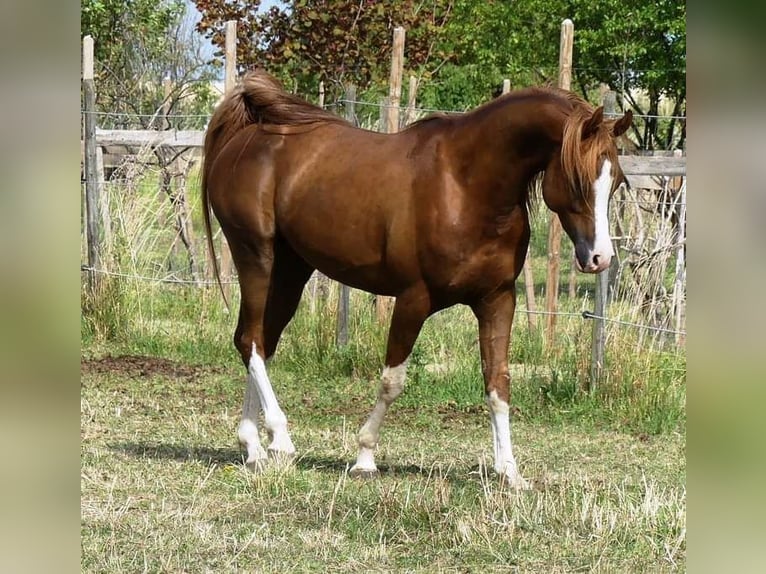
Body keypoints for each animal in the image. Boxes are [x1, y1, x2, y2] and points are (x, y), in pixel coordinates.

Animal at [201, 68, 632, 490]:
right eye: (578, 181)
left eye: (615, 181)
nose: (600, 258)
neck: (466, 185)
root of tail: (248, 135)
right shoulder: (414, 299)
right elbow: (392, 381)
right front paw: (365, 458)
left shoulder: (497, 299)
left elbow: (498, 383)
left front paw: (509, 472)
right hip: (255, 256)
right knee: (251, 341)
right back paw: (280, 438)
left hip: (292, 269)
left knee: (260, 341)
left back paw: (254, 447)